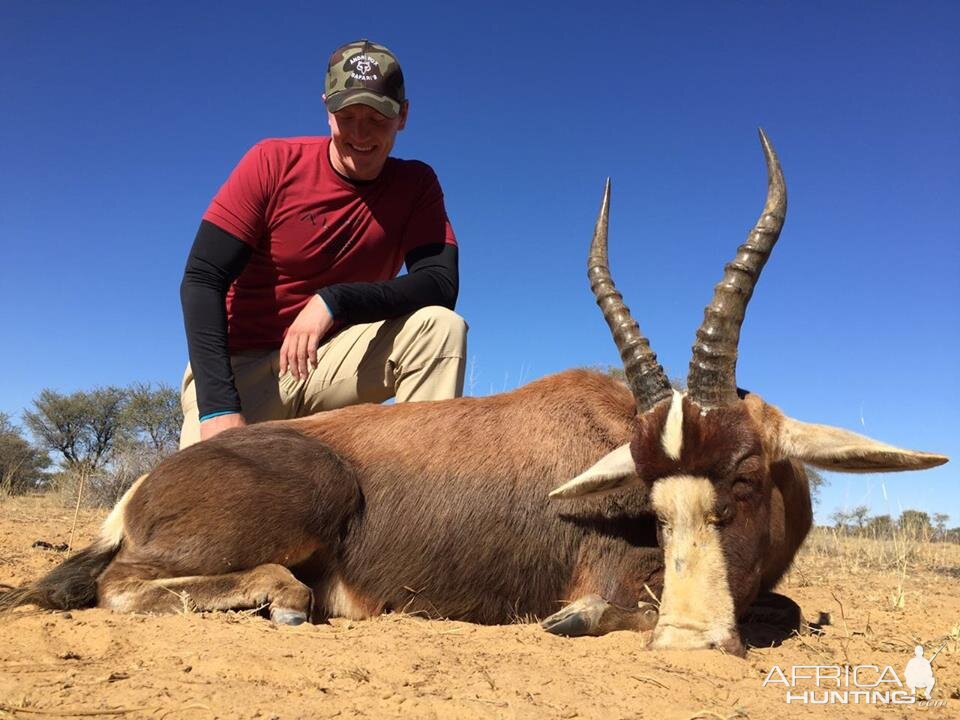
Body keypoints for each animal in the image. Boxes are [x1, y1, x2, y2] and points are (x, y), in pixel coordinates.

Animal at [0, 129, 944, 652]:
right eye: (649, 492)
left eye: (744, 474)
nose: (688, 638)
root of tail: (144, 487)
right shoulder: (615, 578)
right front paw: (583, 624)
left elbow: (785, 605)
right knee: (125, 586)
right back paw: (284, 603)